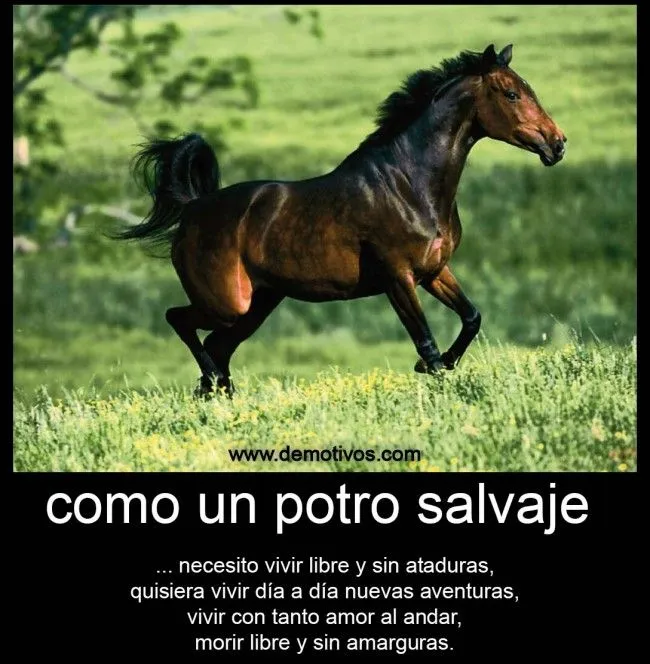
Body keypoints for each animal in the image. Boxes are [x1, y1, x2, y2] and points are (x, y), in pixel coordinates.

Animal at [117, 43, 566, 396]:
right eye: (512, 93)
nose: (557, 144)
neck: (410, 184)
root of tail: (194, 209)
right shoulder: (397, 278)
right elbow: (426, 342)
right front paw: (431, 371)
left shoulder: (434, 271)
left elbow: (471, 318)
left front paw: (441, 365)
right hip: (227, 303)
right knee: (181, 321)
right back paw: (215, 385)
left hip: (257, 304)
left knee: (216, 346)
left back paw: (219, 392)